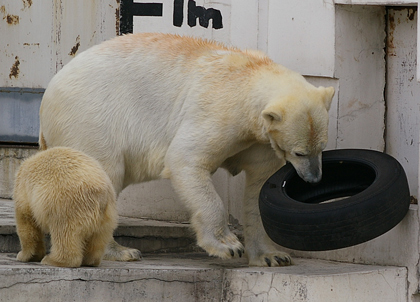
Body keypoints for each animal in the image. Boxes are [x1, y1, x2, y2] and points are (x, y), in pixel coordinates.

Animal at [39, 31, 334, 266]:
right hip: (92, 118)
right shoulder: (219, 111)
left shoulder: (260, 141)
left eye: (321, 147)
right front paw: (227, 245)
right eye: (299, 153)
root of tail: (47, 96)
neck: (248, 76)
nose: (313, 178)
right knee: (104, 174)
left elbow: (259, 189)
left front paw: (272, 256)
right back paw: (120, 251)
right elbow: (186, 159)